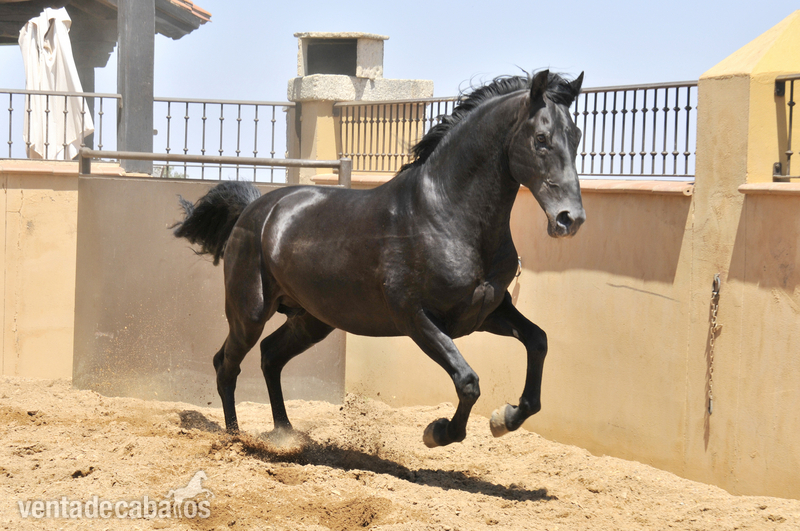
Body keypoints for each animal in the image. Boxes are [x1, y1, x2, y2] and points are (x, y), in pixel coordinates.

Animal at [173, 69, 585, 448]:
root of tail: (254, 209)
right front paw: (438, 432)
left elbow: (538, 341)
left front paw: (505, 418)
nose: (570, 219)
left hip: (312, 319)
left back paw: (286, 435)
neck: (446, 215)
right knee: (226, 365)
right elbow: (468, 381)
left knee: (270, 356)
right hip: (249, 311)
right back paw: (235, 439)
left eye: (577, 136)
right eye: (541, 139)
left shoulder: (486, 313)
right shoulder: (416, 317)